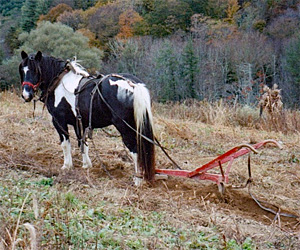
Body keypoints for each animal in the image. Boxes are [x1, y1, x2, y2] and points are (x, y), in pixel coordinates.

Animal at [19, 50, 155, 185]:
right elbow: (83, 143)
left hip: (125, 128)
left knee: (135, 150)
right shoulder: (80, 123)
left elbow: (65, 144)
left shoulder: (59, 121)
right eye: (22, 70)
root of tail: (133, 85)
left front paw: (67, 166)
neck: (58, 83)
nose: (26, 95)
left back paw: (137, 180)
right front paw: (86, 165)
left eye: (36, 70)